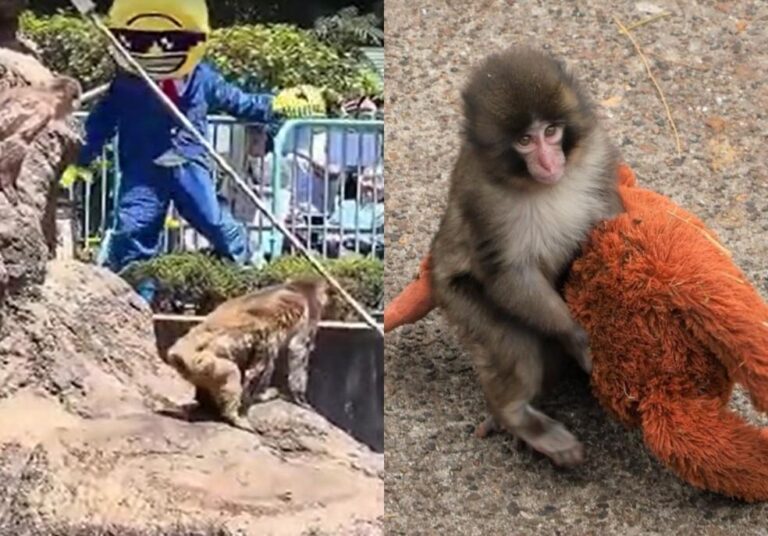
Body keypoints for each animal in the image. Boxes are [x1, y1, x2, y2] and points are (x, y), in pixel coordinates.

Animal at [0, 76, 81, 204]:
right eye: (75, 97)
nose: (79, 103)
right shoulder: (44, 109)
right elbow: (18, 138)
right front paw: (6, 183)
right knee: (22, 144)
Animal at [165, 277, 329, 432]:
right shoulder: (311, 311)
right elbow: (297, 348)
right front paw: (300, 398)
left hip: (196, 366)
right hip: (210, 356)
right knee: (251, 362)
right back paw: (239, 413)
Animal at [429, 47, 624, 467]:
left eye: (551, 132)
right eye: (523, 140)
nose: (549, 163)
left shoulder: (597, 155)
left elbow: (611, 219)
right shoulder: (483, 199)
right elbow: (508, 274)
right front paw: (577, 337)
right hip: (456, 297)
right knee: (515, 346)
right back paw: (516, 416)